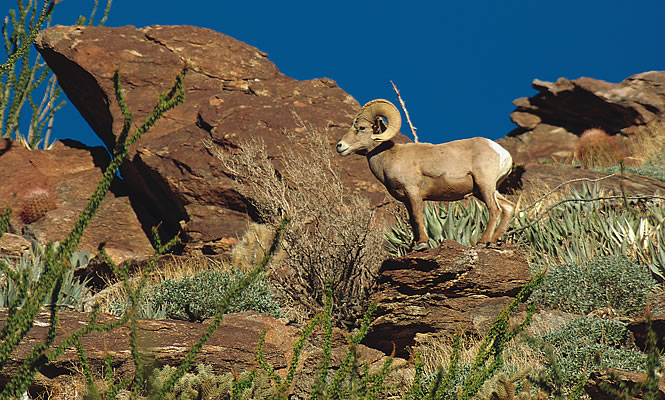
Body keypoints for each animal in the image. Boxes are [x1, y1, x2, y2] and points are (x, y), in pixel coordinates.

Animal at [338, 99, 512, 248]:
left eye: (361, 128)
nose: (340, 146)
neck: (389, 157)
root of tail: (502, 153)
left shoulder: (413, 191)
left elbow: (417, 216)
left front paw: (422, 243)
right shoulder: (406, 199)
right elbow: (411, 220)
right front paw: (413, 246)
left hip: (484, 185)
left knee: (495, 209)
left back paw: (483, 242)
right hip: (483, 191)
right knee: (508, 208)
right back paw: (494, 242)